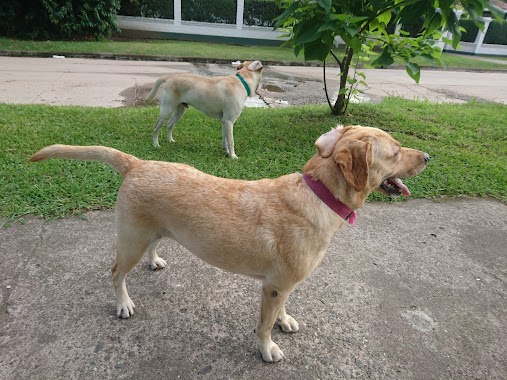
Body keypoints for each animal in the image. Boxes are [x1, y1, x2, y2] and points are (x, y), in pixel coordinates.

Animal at [29, 124, 430, 362]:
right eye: (395, 151)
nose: (428, 156)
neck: (319, 193)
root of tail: (138, 163)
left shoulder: (284, 284)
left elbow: (283, 309)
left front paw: (285, 320)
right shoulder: (273, 287)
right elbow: (263, 325)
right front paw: (267, 347)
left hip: (153, 232)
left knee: (152, 247)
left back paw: (154, 261)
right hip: (130, 241)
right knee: (115, 273)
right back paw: (123, 303)